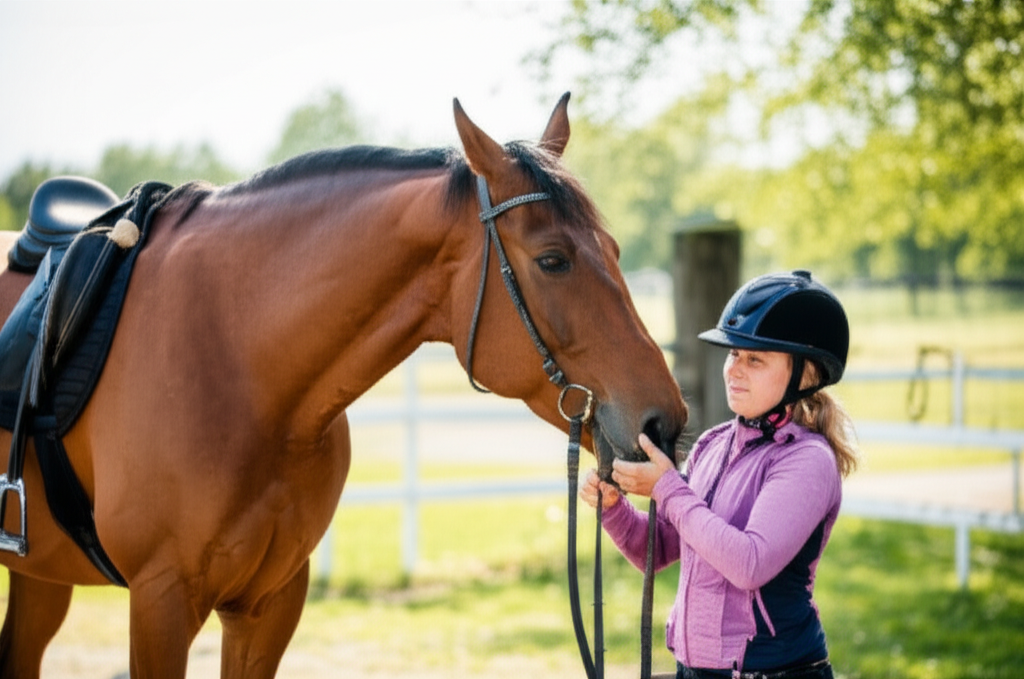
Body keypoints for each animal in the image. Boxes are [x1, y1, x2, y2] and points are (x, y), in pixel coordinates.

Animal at [0, 93, 687, 679]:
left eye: (615, 250)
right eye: (552, 260)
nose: (664, 422)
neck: (236, 360)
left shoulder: (268, 604)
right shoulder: (160, 601)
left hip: (41, 578)